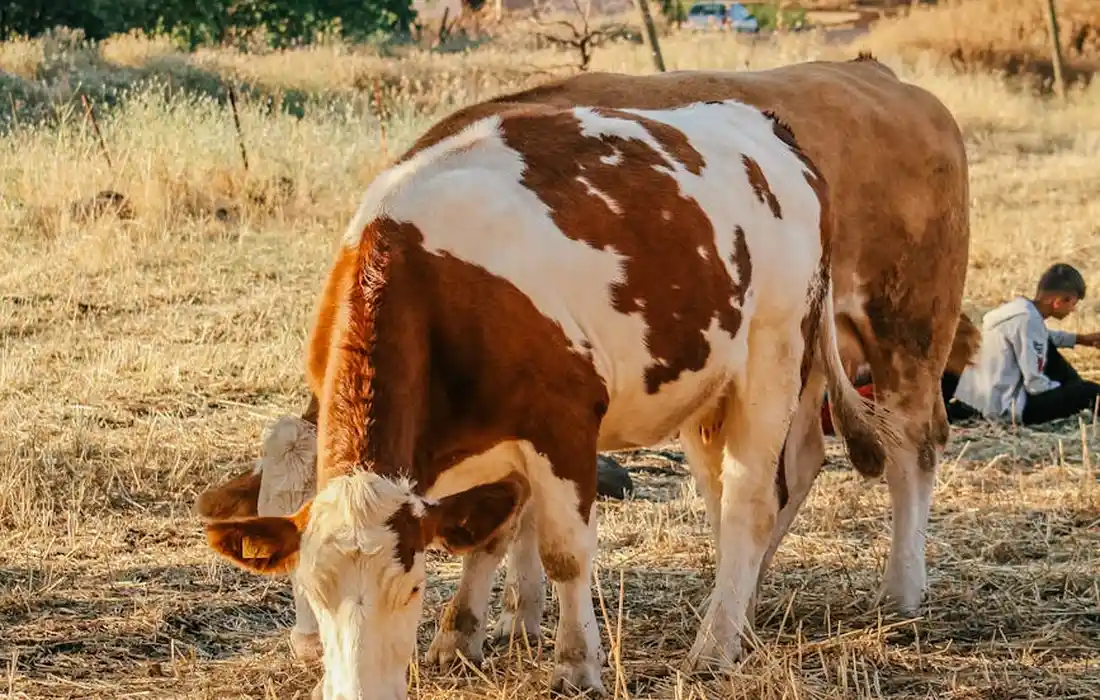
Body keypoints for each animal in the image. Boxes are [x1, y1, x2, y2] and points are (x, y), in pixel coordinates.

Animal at [196, 93, 902, 699]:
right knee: (721, 499)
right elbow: (491, 530)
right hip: (707, 390)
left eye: (412, 588)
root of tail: (766, 124)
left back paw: (715, 646)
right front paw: (458, 639)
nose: (313, 653)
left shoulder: (561, 421)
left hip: (772, 357)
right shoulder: (481, 448)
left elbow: (564, 553)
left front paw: (574, 665)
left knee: (750, 502)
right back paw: (739, 617)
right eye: (310, 585)